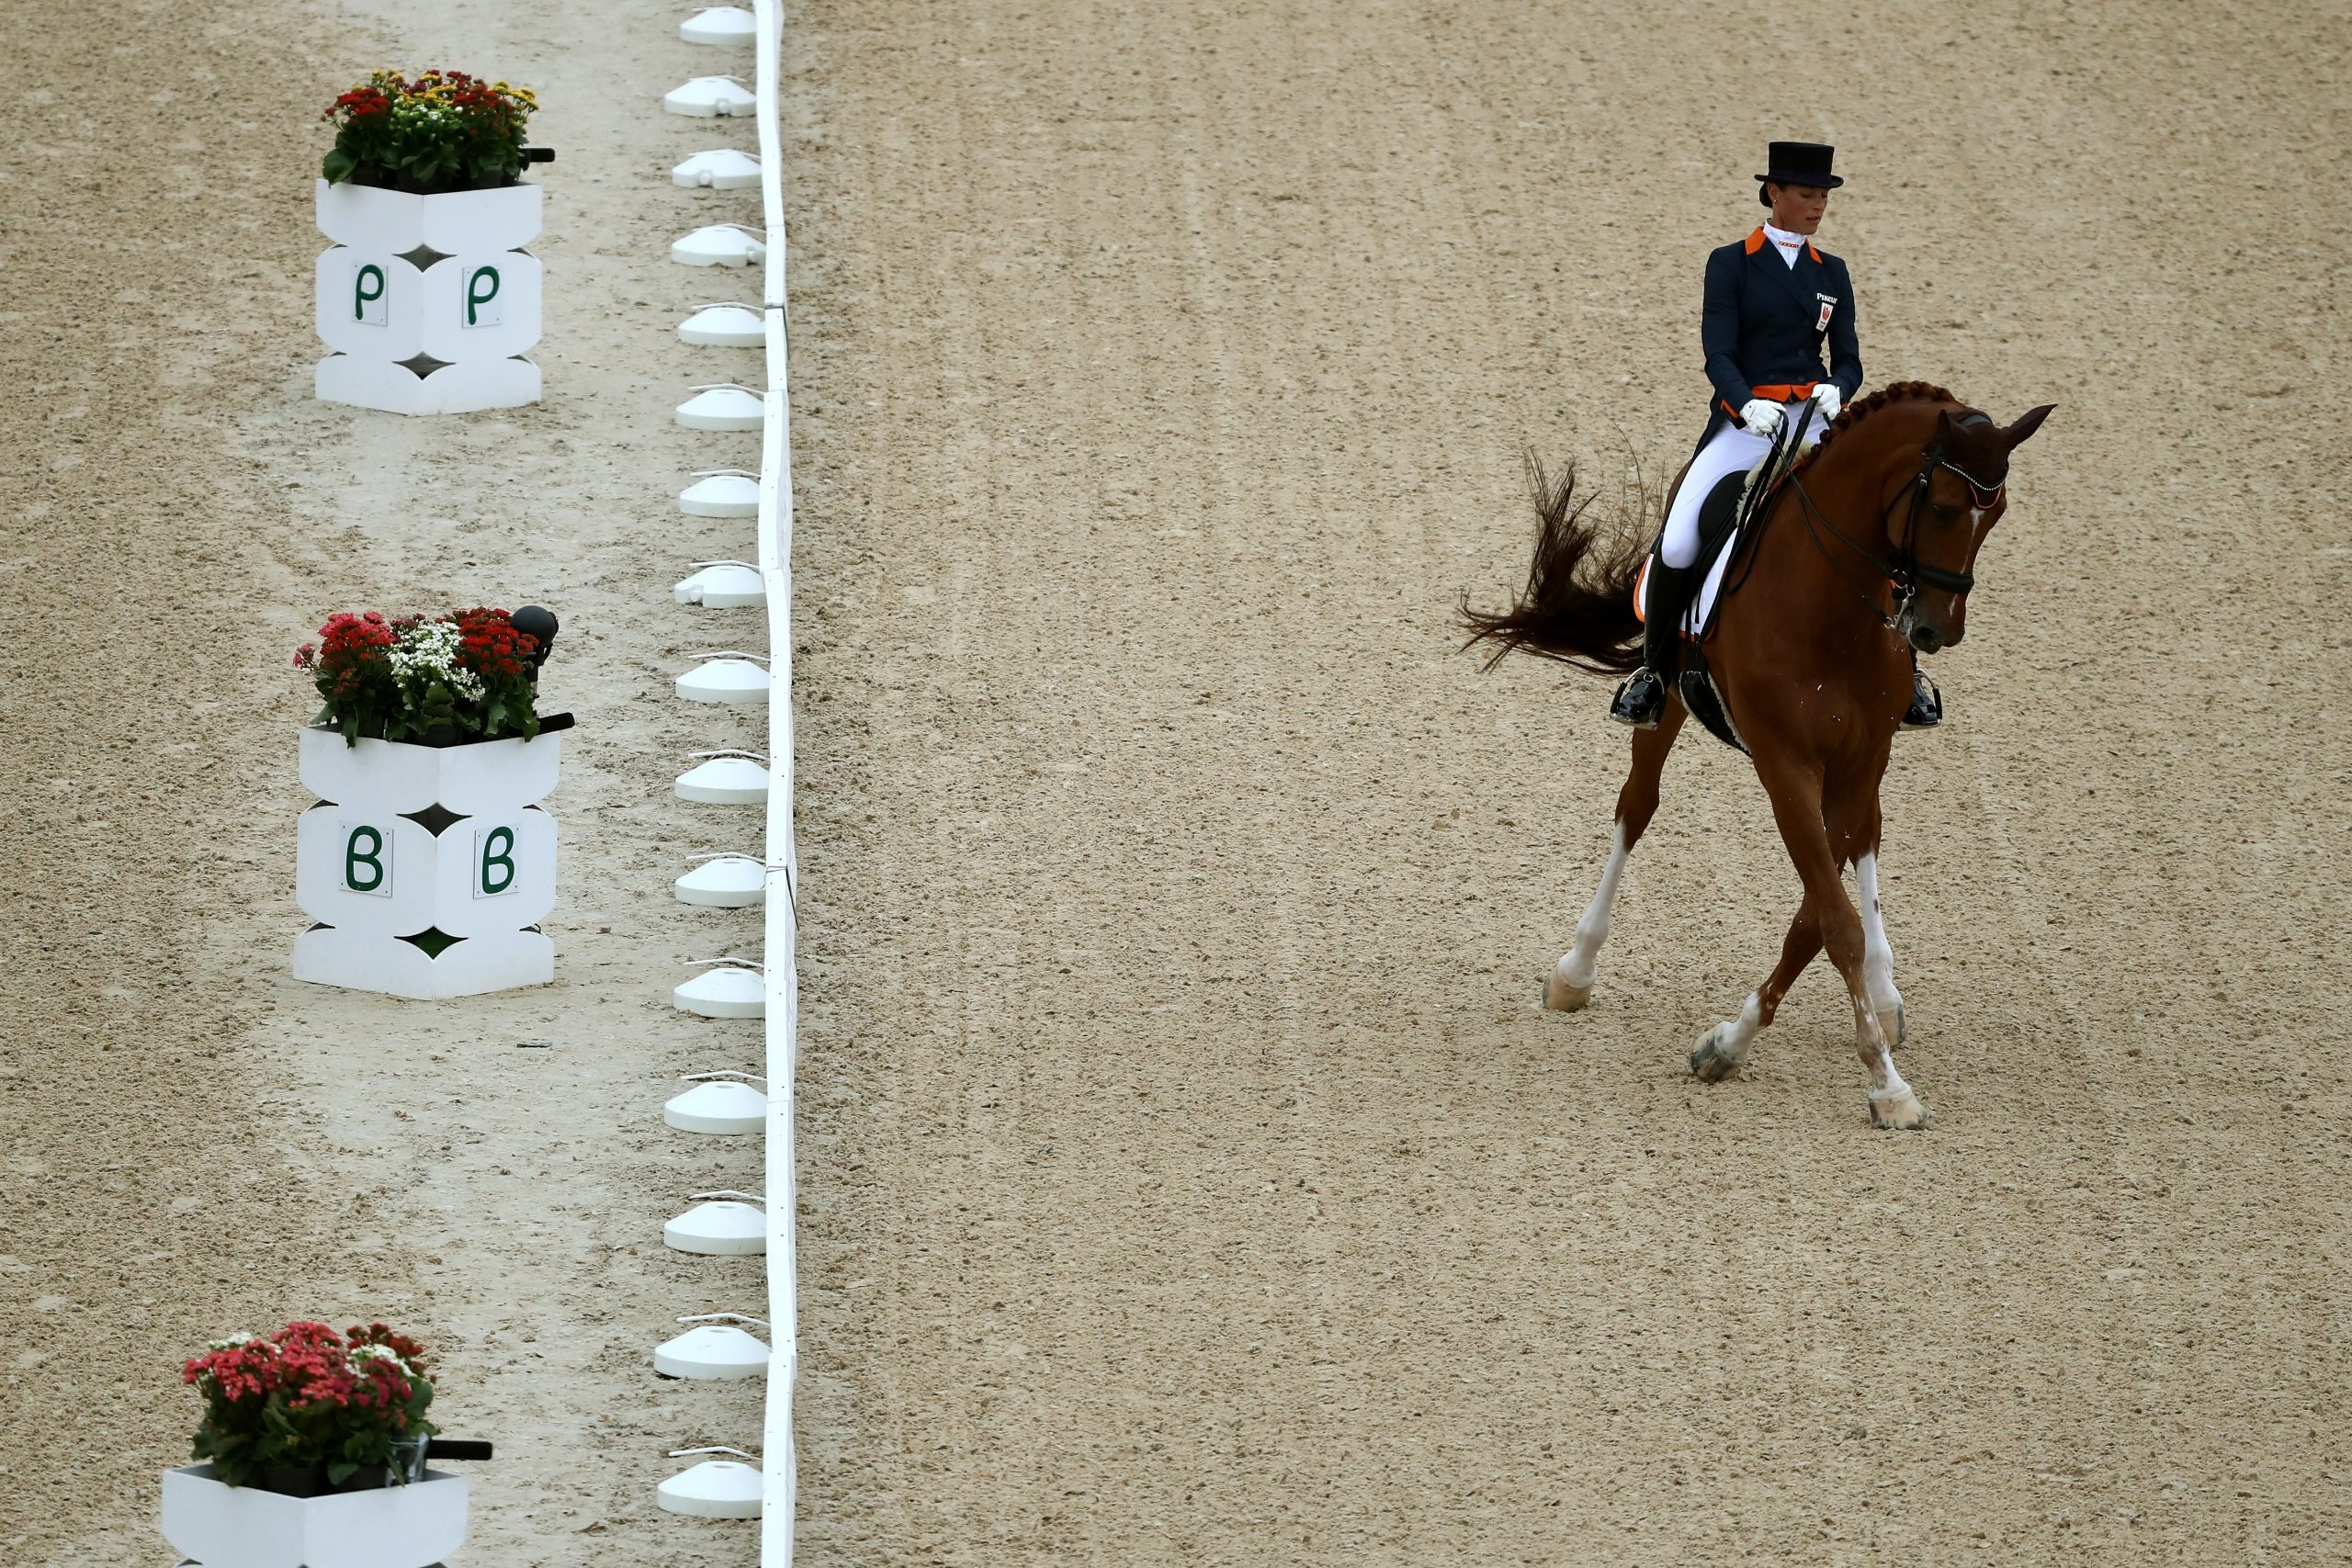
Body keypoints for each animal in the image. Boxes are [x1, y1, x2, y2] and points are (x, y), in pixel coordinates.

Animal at [1458, 389, 2051, 1128]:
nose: (1935, 630)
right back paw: (1575, 970)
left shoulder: (1859, 763)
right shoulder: (1786, 767)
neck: (1831, 611)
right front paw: (1886, 1085)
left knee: (1867, 839)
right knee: (1637, 806)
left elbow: (1817, 916)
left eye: (1994, 514)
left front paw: (1735, 1043)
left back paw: (1885, 997)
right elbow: (1834, 922)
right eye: (1942, 506)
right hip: (1669, 700)